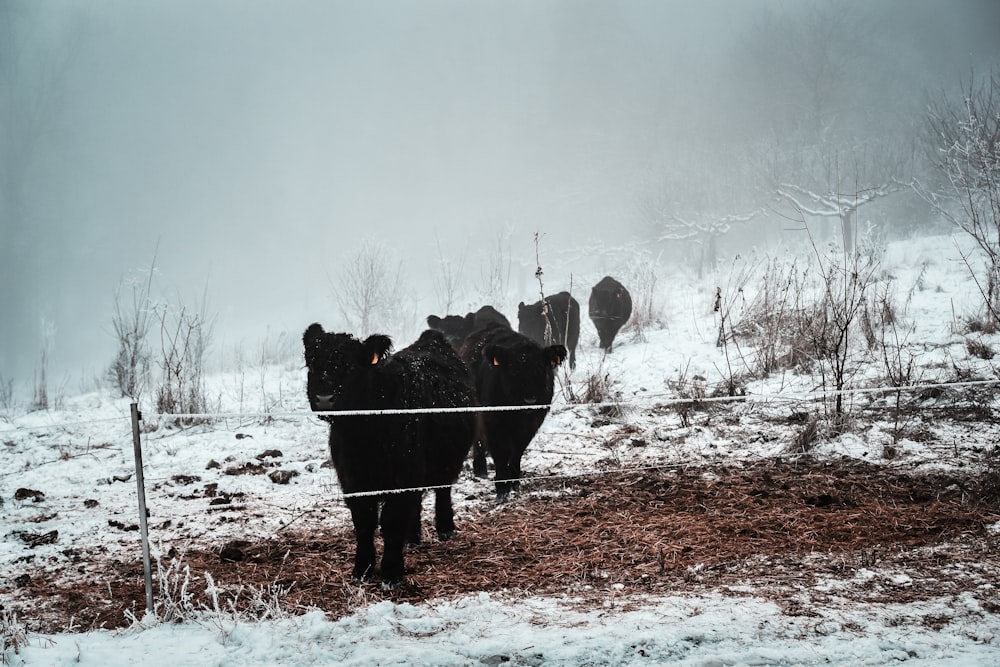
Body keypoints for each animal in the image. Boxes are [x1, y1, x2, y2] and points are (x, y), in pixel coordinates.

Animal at [300, 326, 476, 588]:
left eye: (351, 366)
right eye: (311, 362)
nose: (324, 398)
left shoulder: (402, 475)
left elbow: (391, 522)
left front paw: (392, 573)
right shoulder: (353, 481)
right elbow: (364, 524)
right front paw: (361, 570)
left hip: (447, 461)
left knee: (442, 491)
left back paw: (446, 529)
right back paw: (411, 538)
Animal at [458, 324, 568, 500]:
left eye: (540, 368)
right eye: (514, 370)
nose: (530, 400)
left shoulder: (532, 423)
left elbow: (517, 452)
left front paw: (514, 482)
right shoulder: (492, 422)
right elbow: (501, 453)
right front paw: (502, 487)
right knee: (479, 441)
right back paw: (480, 469)